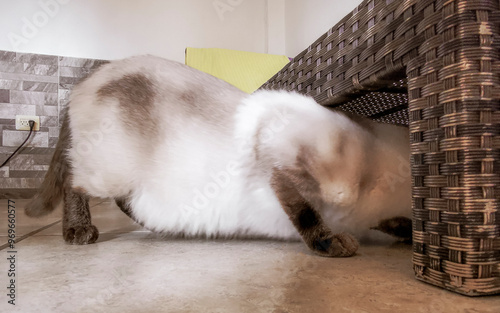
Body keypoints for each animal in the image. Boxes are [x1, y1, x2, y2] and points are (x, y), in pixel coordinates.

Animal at [25, 54, 412, 256]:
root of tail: (84, 81)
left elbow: (388, 221)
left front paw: (407, 231)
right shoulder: (281, 159)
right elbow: (307, 210)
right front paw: (332, 242)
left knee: (126, 201)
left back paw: (163, 223)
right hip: (110, 168)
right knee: (74, 183)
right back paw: (79, 230)